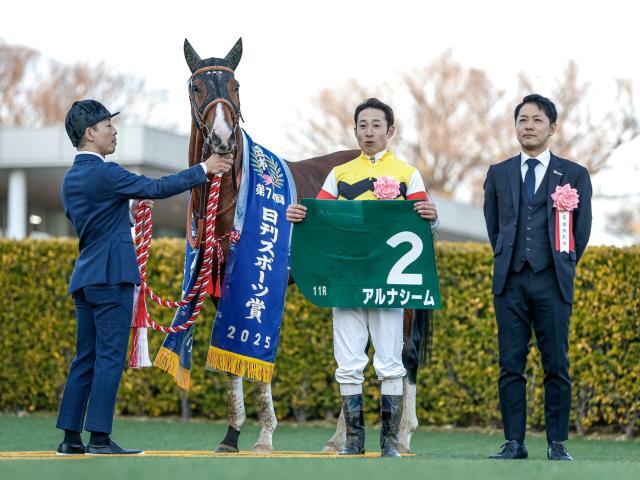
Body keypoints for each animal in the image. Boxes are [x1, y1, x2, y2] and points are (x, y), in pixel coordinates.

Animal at [182, 38, 424, 454]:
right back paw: (340, 437)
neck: (230, 197)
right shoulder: (218, 287)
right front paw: (231, 436)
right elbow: (231, 359)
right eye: (196, 88)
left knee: (404, 354)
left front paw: (264, 437)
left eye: (236, 86)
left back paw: (403, 435)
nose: (223, 139)